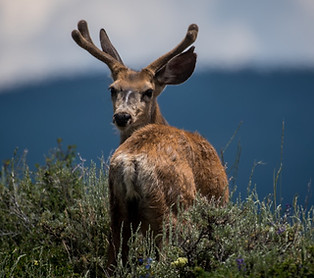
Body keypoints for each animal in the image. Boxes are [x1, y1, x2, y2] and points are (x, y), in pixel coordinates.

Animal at [71, 20, 228, 272]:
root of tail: (131, 162)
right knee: (164, 258)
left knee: (113, 260)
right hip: (169, 209)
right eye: (113, 89)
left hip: (116, 208)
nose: (122, 116)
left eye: (148, 91)